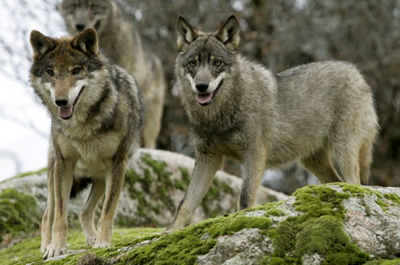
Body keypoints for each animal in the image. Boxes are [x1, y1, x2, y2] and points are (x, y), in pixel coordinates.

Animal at [30, 27, 145, 256]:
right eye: (50, 72)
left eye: (76, 70)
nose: (61, 101)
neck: (81, 126)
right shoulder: (64, 164)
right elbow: (60, 217)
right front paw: (57, 248)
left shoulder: (117, 164)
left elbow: (108, 212)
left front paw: (102, 243)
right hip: (54, 173)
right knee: (48, 214)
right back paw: (46, 246)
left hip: (101, 176)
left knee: (84, 211)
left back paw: (92, 239)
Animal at [165, 15, 378, 232]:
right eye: (193, 63)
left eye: (217, 63)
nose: (201, 87)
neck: (217, 117)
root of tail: (356, 73)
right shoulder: (208, 158)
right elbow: (185, 203)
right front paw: (170, 231)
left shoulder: (255, 153)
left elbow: (244, 198)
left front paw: (241, 221)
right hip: (312, 161)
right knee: (337, 182)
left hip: (343, 150)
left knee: (355, 183)